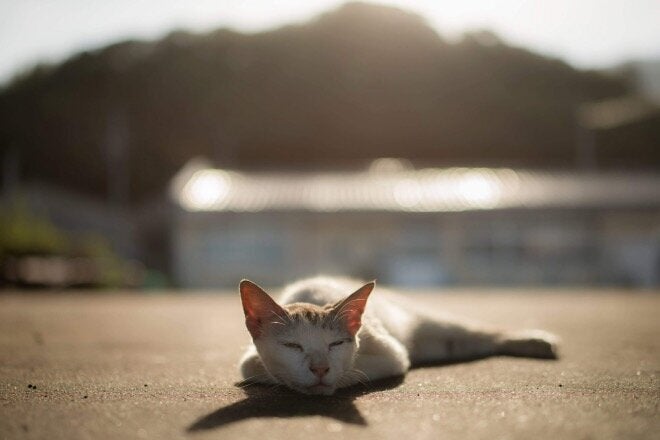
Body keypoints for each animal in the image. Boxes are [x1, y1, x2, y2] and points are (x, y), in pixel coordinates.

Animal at [237, 276, 556, 396]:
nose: (320, 369)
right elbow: (262, 368)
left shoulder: (393, 354)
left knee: (487, 333)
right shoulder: (249, 361)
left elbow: (352, 371)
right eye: (292, 346)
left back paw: (537, 341)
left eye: (336, 344)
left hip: (438, 329)